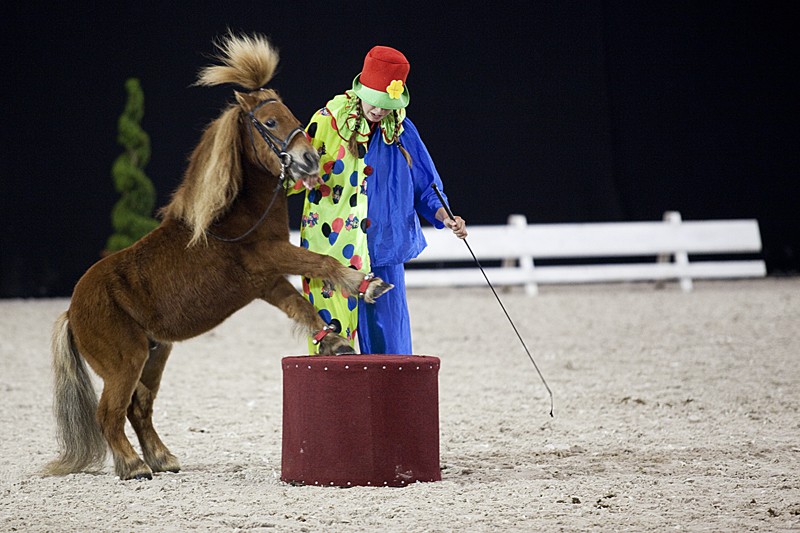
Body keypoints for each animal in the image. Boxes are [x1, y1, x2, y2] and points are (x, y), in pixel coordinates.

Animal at [45, 34, 392, 482]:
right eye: (269, 123)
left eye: (291, 115)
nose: (309, 160)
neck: (230, 217)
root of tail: (72, 312)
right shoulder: (271, 258)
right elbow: (323, 264)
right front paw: (366, 287)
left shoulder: (266, 282)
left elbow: (299, 304)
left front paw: (333, 339)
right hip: (126, 361)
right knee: (110, 413)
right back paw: (134, 466)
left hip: (155, 354)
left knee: (139, 408)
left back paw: (162, 458)